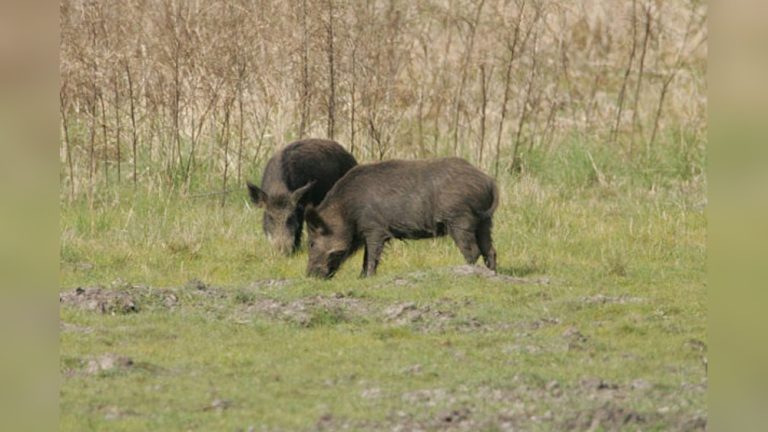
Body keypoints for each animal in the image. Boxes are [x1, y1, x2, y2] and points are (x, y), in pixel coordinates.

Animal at [304, 157, 498, 278]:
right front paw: (361, 278)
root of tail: (488, 181)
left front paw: (367, 277)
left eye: (311, 243)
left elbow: (372, 255)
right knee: (490, 250)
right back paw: (493, 273)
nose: (309, 276)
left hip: (460, 219)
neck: (347, 210)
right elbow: (367, 256)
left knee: (472, 250)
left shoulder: (375, 228)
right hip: (485, 221)